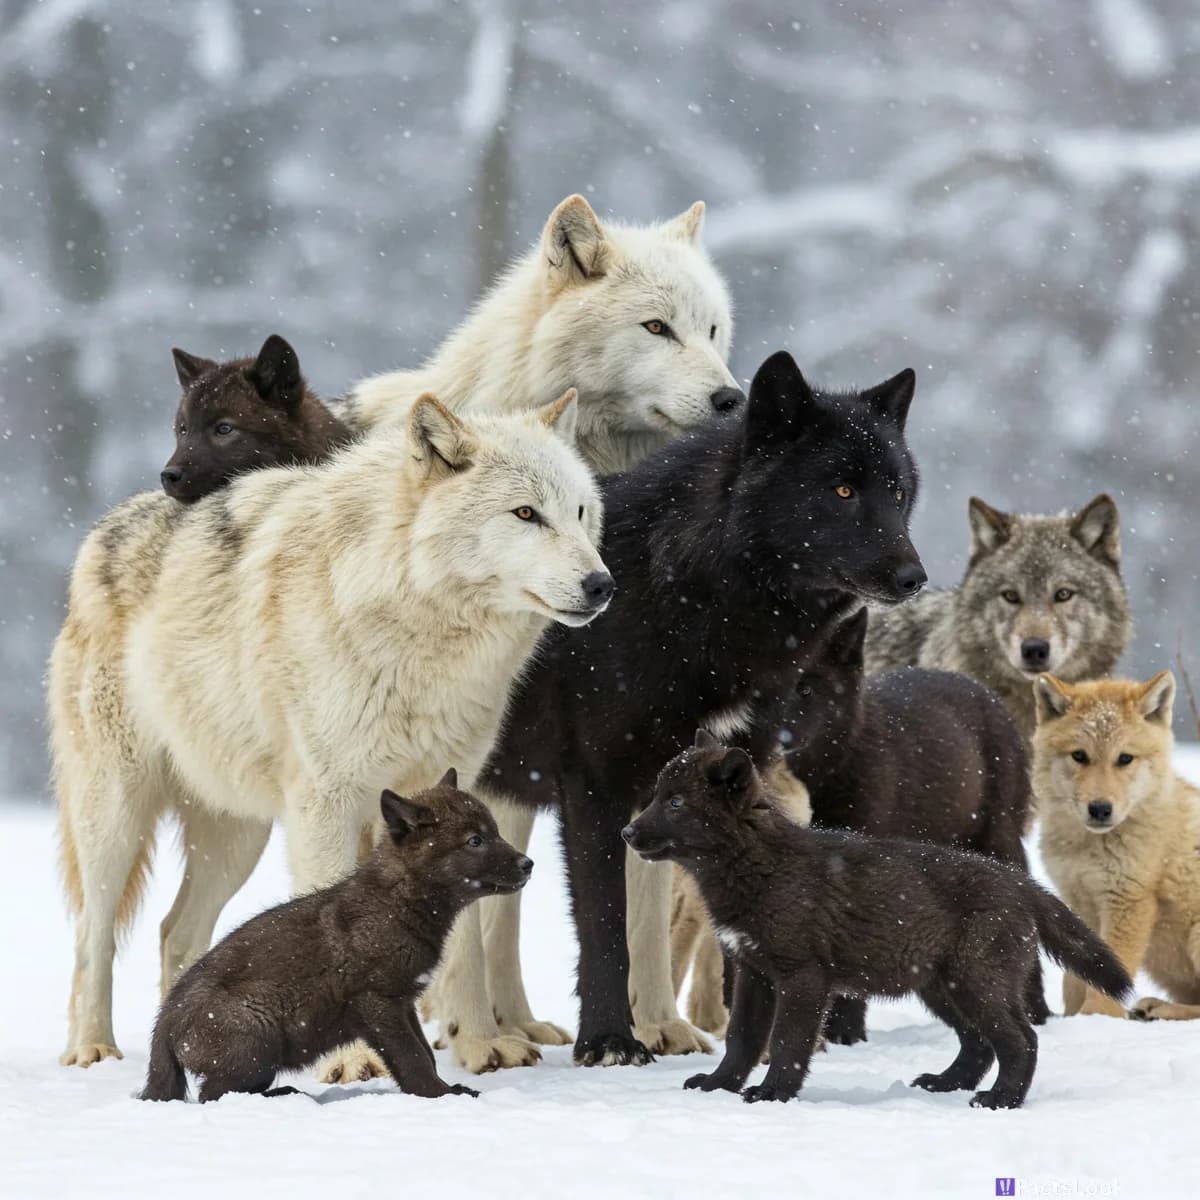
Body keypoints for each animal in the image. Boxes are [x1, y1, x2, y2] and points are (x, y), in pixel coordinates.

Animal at [141, 773, 529, 1103]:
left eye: (496, 831)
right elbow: (413, 1057)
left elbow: (424, 1053)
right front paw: (442, 1095)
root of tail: (164, 1026)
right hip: (257, 1043)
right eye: (475, 841)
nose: (529, 864)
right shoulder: (377, 1002)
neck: (396, 902)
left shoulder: (404, 1002)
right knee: (215, 1094)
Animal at [471, 350, 926, 1069]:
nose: (915, 577)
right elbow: (606, 928)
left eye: (898, 492)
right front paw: (610, 1041)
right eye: (841, 492)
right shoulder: (594, 790)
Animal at [626, 732, 1132, 1109]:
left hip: (976, 984)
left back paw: (999, 1100)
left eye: (675, 803)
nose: (626, 832)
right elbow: (741, 1040)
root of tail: (1021, 883)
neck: (760, 865)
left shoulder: (802, 979)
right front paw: (718, 1086)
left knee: (1020, 1040)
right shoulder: (753, 973)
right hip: (940, 988)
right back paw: (944, 1084)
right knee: (978, 1044)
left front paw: (772, 1094)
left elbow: (788, 1045)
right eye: (655, 796)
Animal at [673, 606, 1044, 1042]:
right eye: (756, 696)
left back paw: (1036, 1008)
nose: (765, 743)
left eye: (806, 689)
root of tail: (980, 690)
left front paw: (843, 1034)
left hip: (997, 841)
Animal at [1034, 671, 1200, 1021]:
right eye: (1079, 756)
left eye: (1124, 759)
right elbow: (1075, 979)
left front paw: (1095, 1019)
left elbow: (1108, 978)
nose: (1100, 809)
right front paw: (1071, 1020)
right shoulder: (1078, 905)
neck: (1088, 847)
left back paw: (1159, 1009)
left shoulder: (1128, 901)